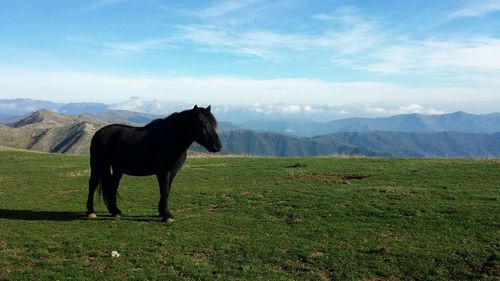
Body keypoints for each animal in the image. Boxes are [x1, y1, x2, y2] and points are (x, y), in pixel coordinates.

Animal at [85, 103, 222, 221]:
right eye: (202, 123)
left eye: (213, 124)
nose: (217, 146)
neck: (171, 139)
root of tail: (98, 133)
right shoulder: (163, 172)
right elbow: (164, 190)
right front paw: (166, 215)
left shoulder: (172, 173)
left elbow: (167, 191)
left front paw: (162, 212)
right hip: (97, 165)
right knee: (92, 184)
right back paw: (91, 212)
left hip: (118, 169)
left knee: (113, 185)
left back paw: (115, 211)